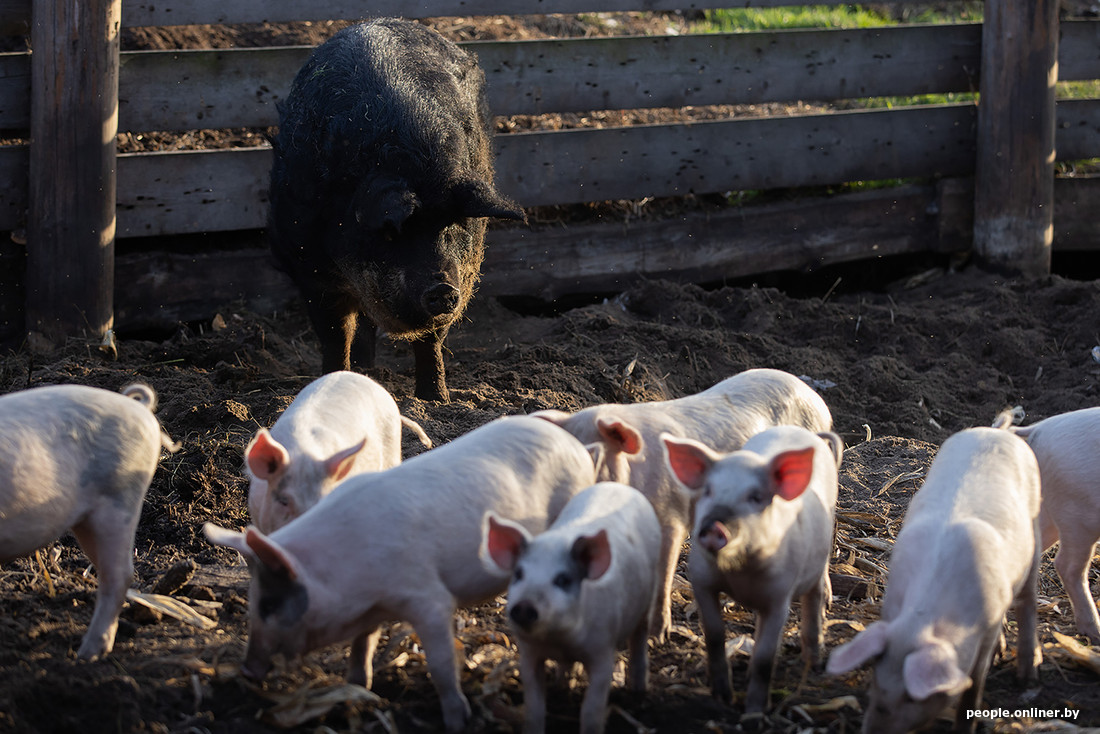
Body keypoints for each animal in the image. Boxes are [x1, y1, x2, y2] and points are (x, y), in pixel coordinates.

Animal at [268, 18, 521, 402]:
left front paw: (436, 401)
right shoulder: (310, 267)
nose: (441, 288)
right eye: (393, 232)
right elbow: (335, 336)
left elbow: (431, 341)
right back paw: (364, 371)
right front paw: (330, 384)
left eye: (453, 225)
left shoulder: (462, 273)